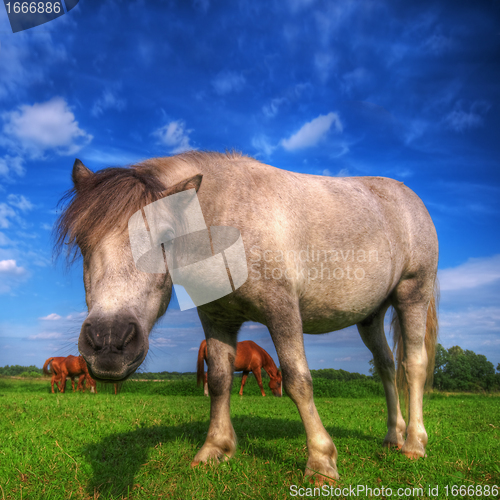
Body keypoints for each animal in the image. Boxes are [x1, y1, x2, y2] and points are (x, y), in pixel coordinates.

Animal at [55, 150, 438, 482]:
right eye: (82, 242)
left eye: (165, 239)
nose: (108, 342)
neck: (227, 224)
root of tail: (410, 198)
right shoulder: (217, 318)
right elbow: (219, 380)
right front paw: (215, 448)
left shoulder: (282, 308)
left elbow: (298, 381)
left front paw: (321, 461)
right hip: (370, 315)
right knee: (387, 367)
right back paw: (392, 436)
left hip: (412, 294)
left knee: (414, 365)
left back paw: (414, 443)